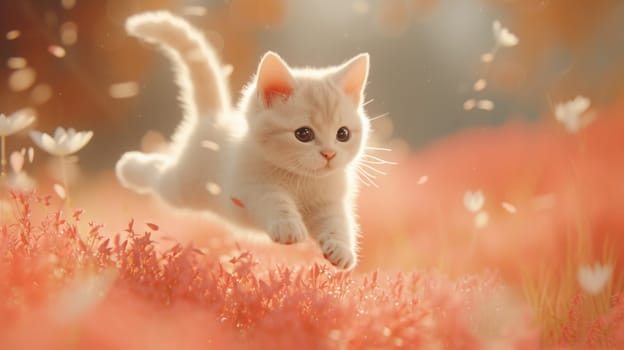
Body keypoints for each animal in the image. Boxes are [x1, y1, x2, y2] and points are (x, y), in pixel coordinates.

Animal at [116, 10, 370, 268]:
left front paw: (340, 248)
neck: (302, 180)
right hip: (184, 187)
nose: (329, 153)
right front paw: (287, 225)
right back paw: (129, 166)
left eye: (343, 134)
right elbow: (275, 201)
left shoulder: (331, 200)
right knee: (161, 175)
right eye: (303, 134)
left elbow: (338, 221)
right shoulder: (253, 187)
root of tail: (213, 117)